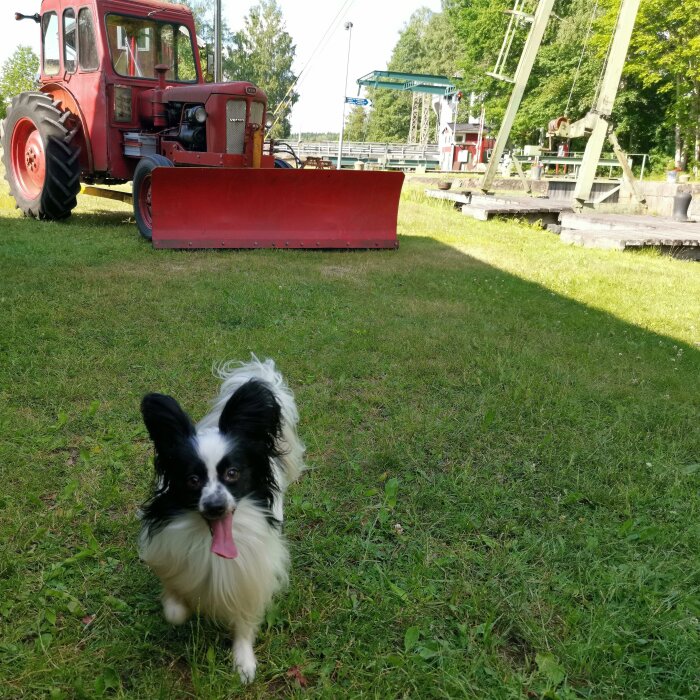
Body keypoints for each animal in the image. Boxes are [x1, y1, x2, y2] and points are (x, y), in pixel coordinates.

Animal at [138, 358, 304, 680]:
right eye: (192, 480)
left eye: (232, 474)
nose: (215, 506)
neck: (209, 541)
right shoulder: (168, 558)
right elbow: (174, 605)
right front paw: (181, 609)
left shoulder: (251, 577)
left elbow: (244, 622)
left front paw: (244, 661)